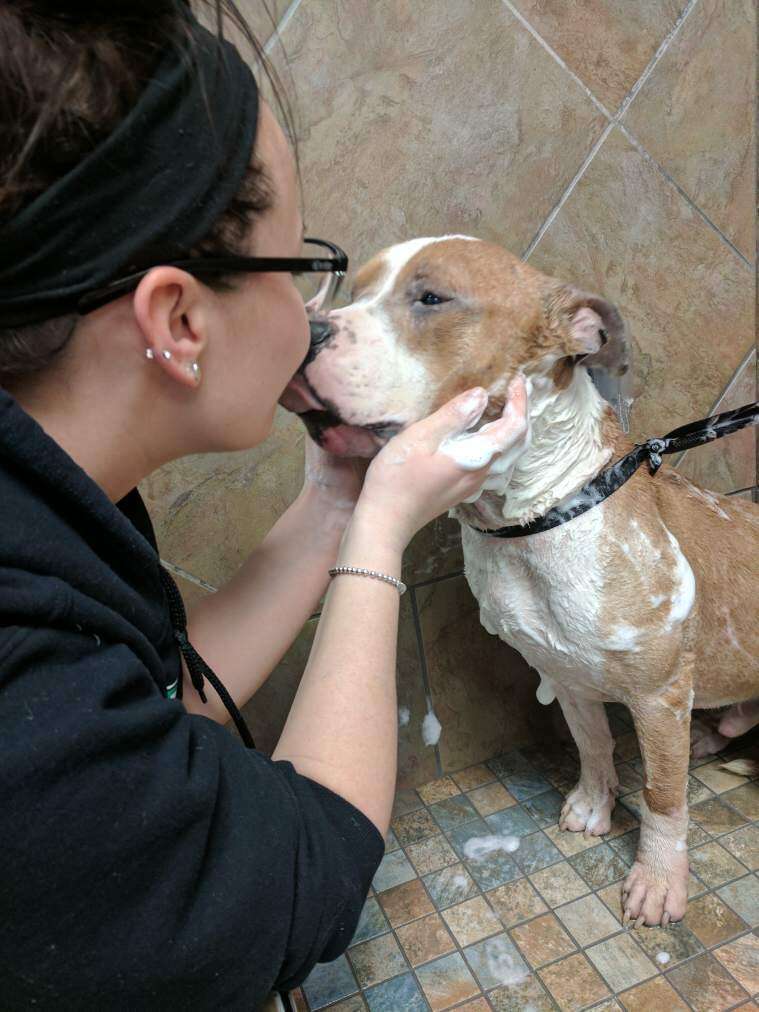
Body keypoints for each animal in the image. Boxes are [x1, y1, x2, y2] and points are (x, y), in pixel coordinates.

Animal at [281, 234, 759, 926]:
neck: (535, 518)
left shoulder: (660, 691)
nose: (307, 329)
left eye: (432, 298)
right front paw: (594, 804)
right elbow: (593, 746)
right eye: (354, 290)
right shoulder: (566, 673)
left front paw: (658, 879)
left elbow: (664, 796)